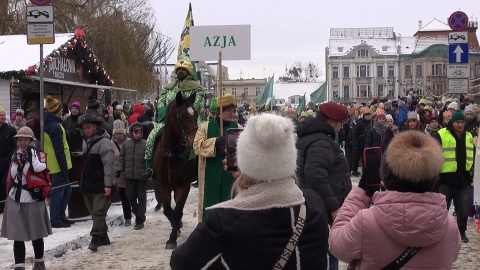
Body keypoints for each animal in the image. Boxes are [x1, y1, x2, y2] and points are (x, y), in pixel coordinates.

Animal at [154, 90, 199, 249]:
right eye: (182, 115)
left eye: (196, 113)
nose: (195, 139)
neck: (171, 154)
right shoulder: (163, 185)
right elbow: (168, 210)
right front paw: (176, 228)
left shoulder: (184, 185)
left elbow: (178, 210)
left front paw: (172, 238)